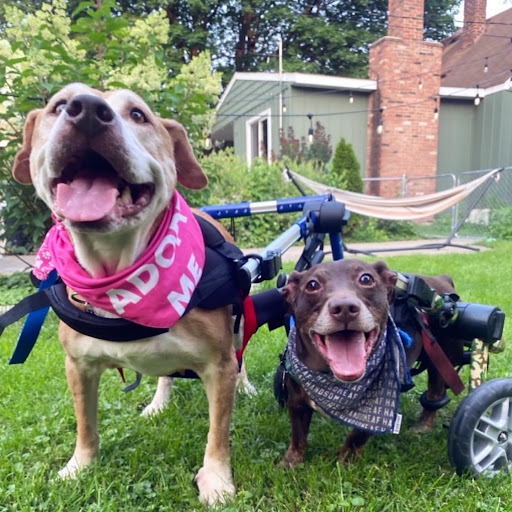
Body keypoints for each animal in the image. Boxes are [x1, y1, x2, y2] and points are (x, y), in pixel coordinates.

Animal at [12, 83, 240, 504]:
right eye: (58, 106)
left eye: (138, 115)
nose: (86, 110)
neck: (121, 278)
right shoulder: (78, 365)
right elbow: (85, 424)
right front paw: (79, 466)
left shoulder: (219, 366)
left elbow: (218, 433)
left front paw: (217, 479)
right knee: (166, 375)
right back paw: (158, 403)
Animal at [278, 258, 464, 467]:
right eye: (312, 285)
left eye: (366, 279)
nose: (344, 307)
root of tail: (442, 280)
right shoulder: (296, 402)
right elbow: (298, 436)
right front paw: (290, 462)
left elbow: (356, 437)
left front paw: (345, 464)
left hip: (442, 356)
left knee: (436, 391)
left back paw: (422, 425)